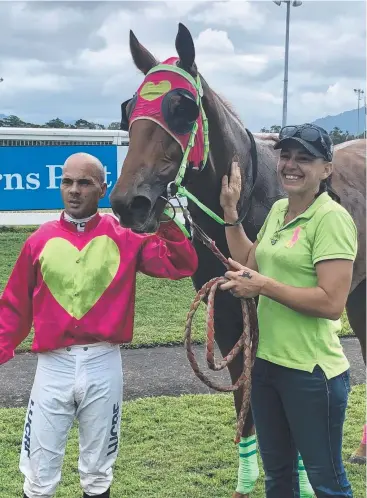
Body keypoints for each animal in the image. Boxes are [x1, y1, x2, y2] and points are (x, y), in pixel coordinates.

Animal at [108, 22, 366, 494]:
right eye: (129, 107)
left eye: (182, 107)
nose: (128, 203)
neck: (254, 193)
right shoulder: (228, 312)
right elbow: (244, 398)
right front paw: (246, 479)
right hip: (358, 296)